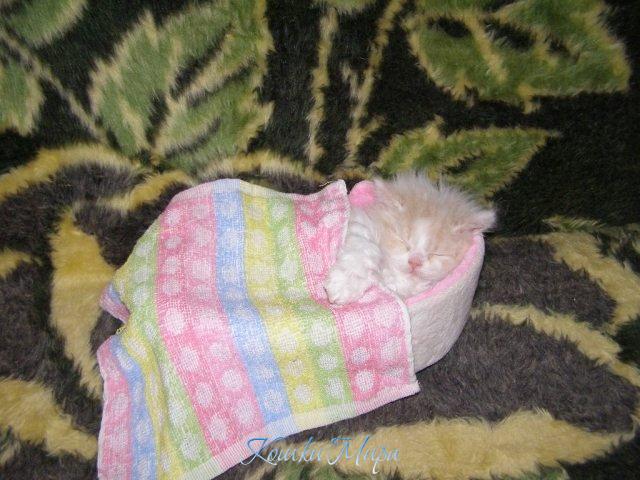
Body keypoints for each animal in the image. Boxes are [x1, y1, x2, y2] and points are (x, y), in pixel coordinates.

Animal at [324, 172, 495, 304]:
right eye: (404, 242)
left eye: (437, 253)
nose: (415, 262)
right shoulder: (359, 224)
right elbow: (367, 249)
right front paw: (343, 285)